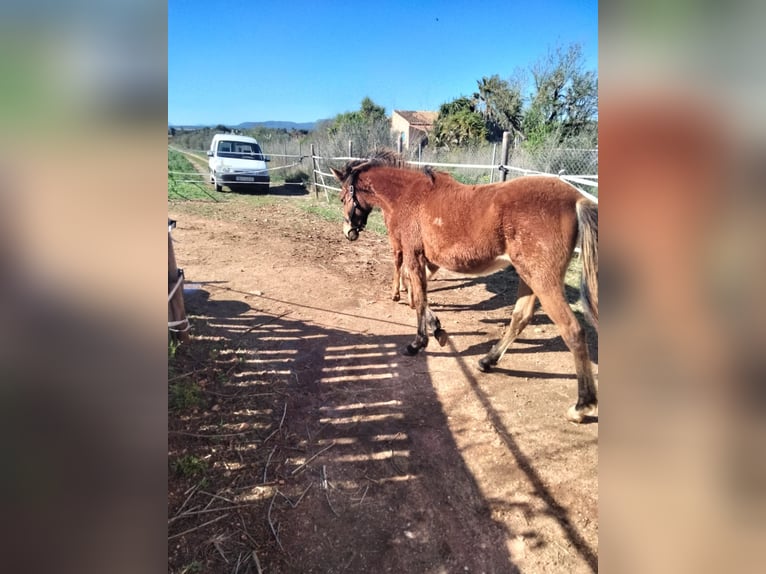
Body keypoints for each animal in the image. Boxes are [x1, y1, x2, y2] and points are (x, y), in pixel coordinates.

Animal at [330, 151, 600, 426]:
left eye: (342, 197)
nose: (348, 232)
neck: (409, 194)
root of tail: (576, 199)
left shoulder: (414, 256)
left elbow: (420, 298)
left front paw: (418, 342)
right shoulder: (424, 259)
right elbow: (420, 298)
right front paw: (437, 330)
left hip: (543, 280)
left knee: (572, 330)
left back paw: (582, 406)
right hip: (529, 277)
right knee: (520, 317)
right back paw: (487, 361)